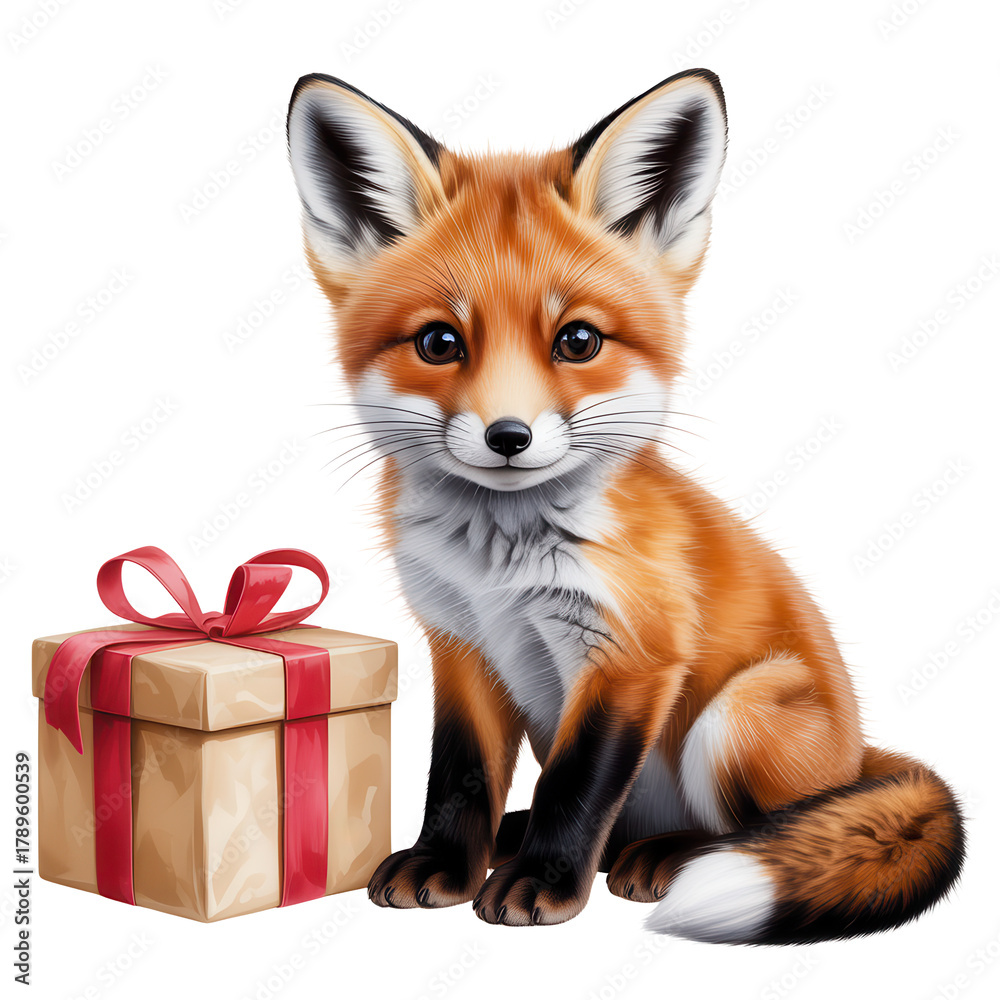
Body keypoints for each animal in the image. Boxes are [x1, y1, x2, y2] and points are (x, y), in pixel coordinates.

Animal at [285, 68, 964, 943]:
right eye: (440, 342)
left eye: (578, 340)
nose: (509, 436)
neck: (496, 566)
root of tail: (863, 756)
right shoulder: (460, 642)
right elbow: (461, 777)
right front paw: (447, 862)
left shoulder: (633, 654)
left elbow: (575, 787)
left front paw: (543, 883)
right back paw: (529, 838)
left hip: (741, 713)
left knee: (762, 829)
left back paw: (665, 857)